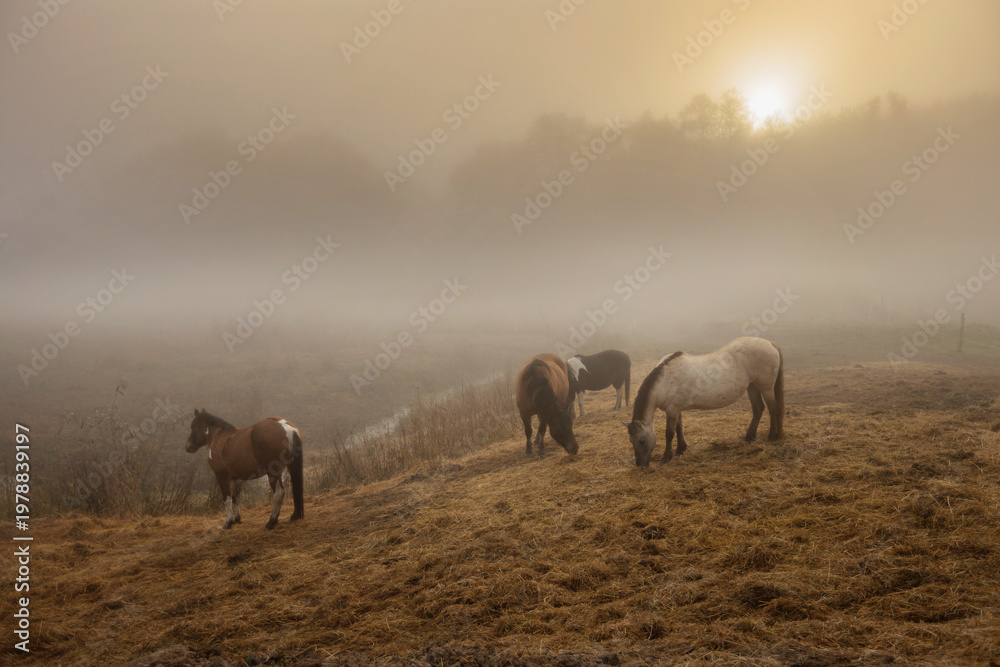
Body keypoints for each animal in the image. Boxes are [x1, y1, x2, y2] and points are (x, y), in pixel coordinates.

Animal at [624, 337, 784, 467]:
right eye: (631, 441)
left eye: (642, 440)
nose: (640, 464)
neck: (664, 381)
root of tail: (769, 343)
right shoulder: (677, 409)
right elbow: (679, 428)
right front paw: (680, 449)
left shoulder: (672, 410)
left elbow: (669, 433)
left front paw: (666, 458)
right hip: (753, 387)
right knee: (758, 409)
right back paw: (749, 437)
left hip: (766, 387)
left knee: (773, 409)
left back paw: (771, 436)